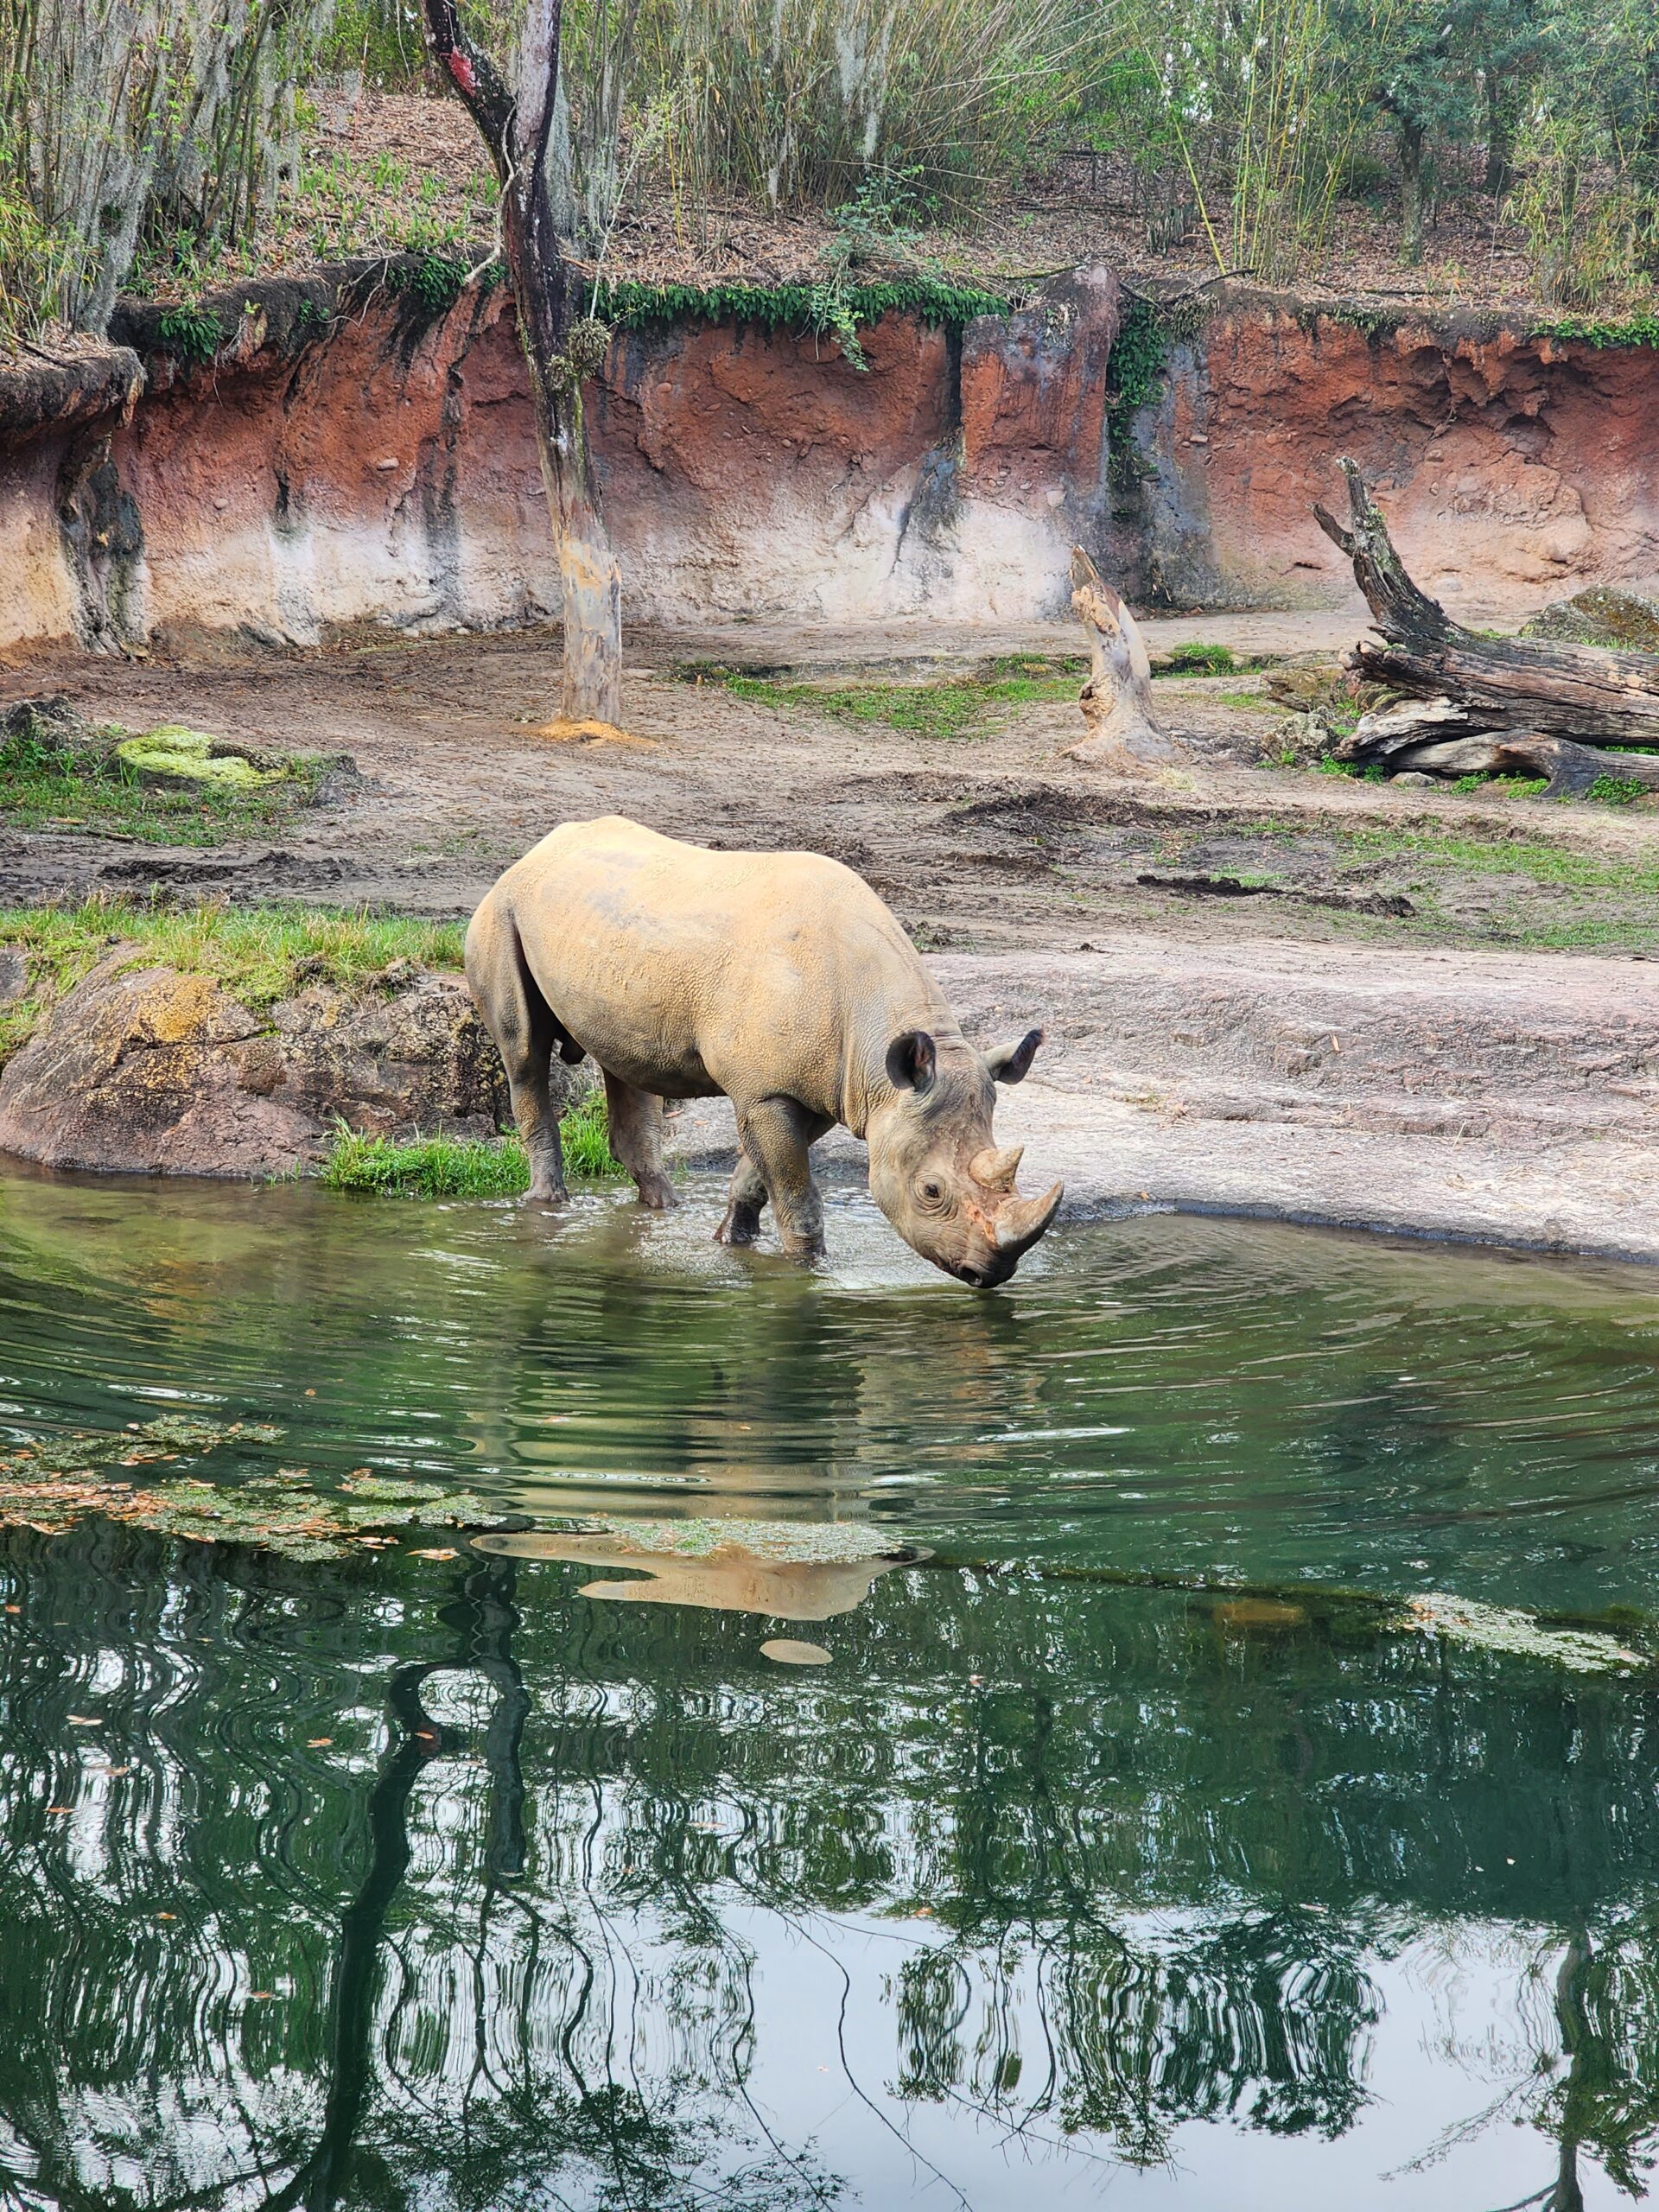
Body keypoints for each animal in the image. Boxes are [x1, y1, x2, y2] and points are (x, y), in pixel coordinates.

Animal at [464, 816, 1063, 1287]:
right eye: (931, 1191)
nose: (990, 1275)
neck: (877, 1051)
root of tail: (535, 852)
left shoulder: (822, 1087)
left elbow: (756, 1176)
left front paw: (731, 1243)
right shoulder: (768, 1091)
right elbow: (797, 1197)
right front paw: (807, 1269)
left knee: (624, 1063)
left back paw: (664, 1208)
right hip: (503, 911)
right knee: (524, 1054)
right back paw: (549, 1207)